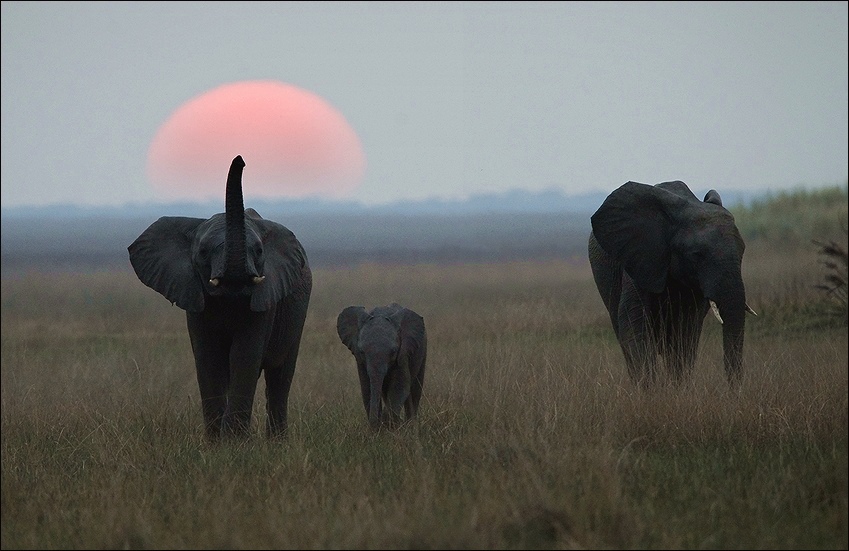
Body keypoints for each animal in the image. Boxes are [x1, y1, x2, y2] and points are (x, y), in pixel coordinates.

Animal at [126, 155, 312, 440]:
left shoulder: (265, 301)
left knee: (280, 376)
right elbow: (209, 358)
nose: (241, 159)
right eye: (203, 251)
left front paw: (233, 442)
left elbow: (244, 356)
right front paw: (216, 443)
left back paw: (277, 443)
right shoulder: (194, 298)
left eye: (259, 251)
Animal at [588, 181, 756, 388]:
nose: (734, 391)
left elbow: (685, 335)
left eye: (743, 251)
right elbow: (634, 329)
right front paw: (651, 392)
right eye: (696, 255)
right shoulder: (640, 258)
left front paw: (677, 390)